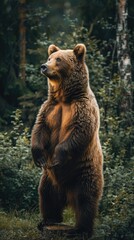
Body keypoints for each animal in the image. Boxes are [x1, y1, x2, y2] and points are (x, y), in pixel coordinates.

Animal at [31, 43, 103, 238]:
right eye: (49, 57)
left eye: (59, 59)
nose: (44, 66)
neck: (65, 97)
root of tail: (66, 193)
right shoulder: (50, 109)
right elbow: (39, 129)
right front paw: (38, 156)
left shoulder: (82, 109)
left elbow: (78, 132)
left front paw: (57, 156)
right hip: (49, 178)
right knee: (46, 195)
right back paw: (48, 220)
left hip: (84, 173)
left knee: (86, 200)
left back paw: (81, 229)